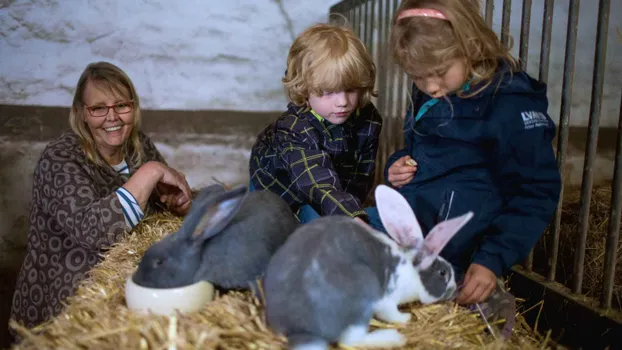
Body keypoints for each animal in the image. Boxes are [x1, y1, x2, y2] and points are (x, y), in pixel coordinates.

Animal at [264, 185, 472, 348]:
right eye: (443, 273)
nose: (455, 289)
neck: (411, 270)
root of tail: (299, 326)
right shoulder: (387, 299)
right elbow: (391, 314)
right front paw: (405, 319)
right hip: (363, 291)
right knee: (350, 341)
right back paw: (393, 338)